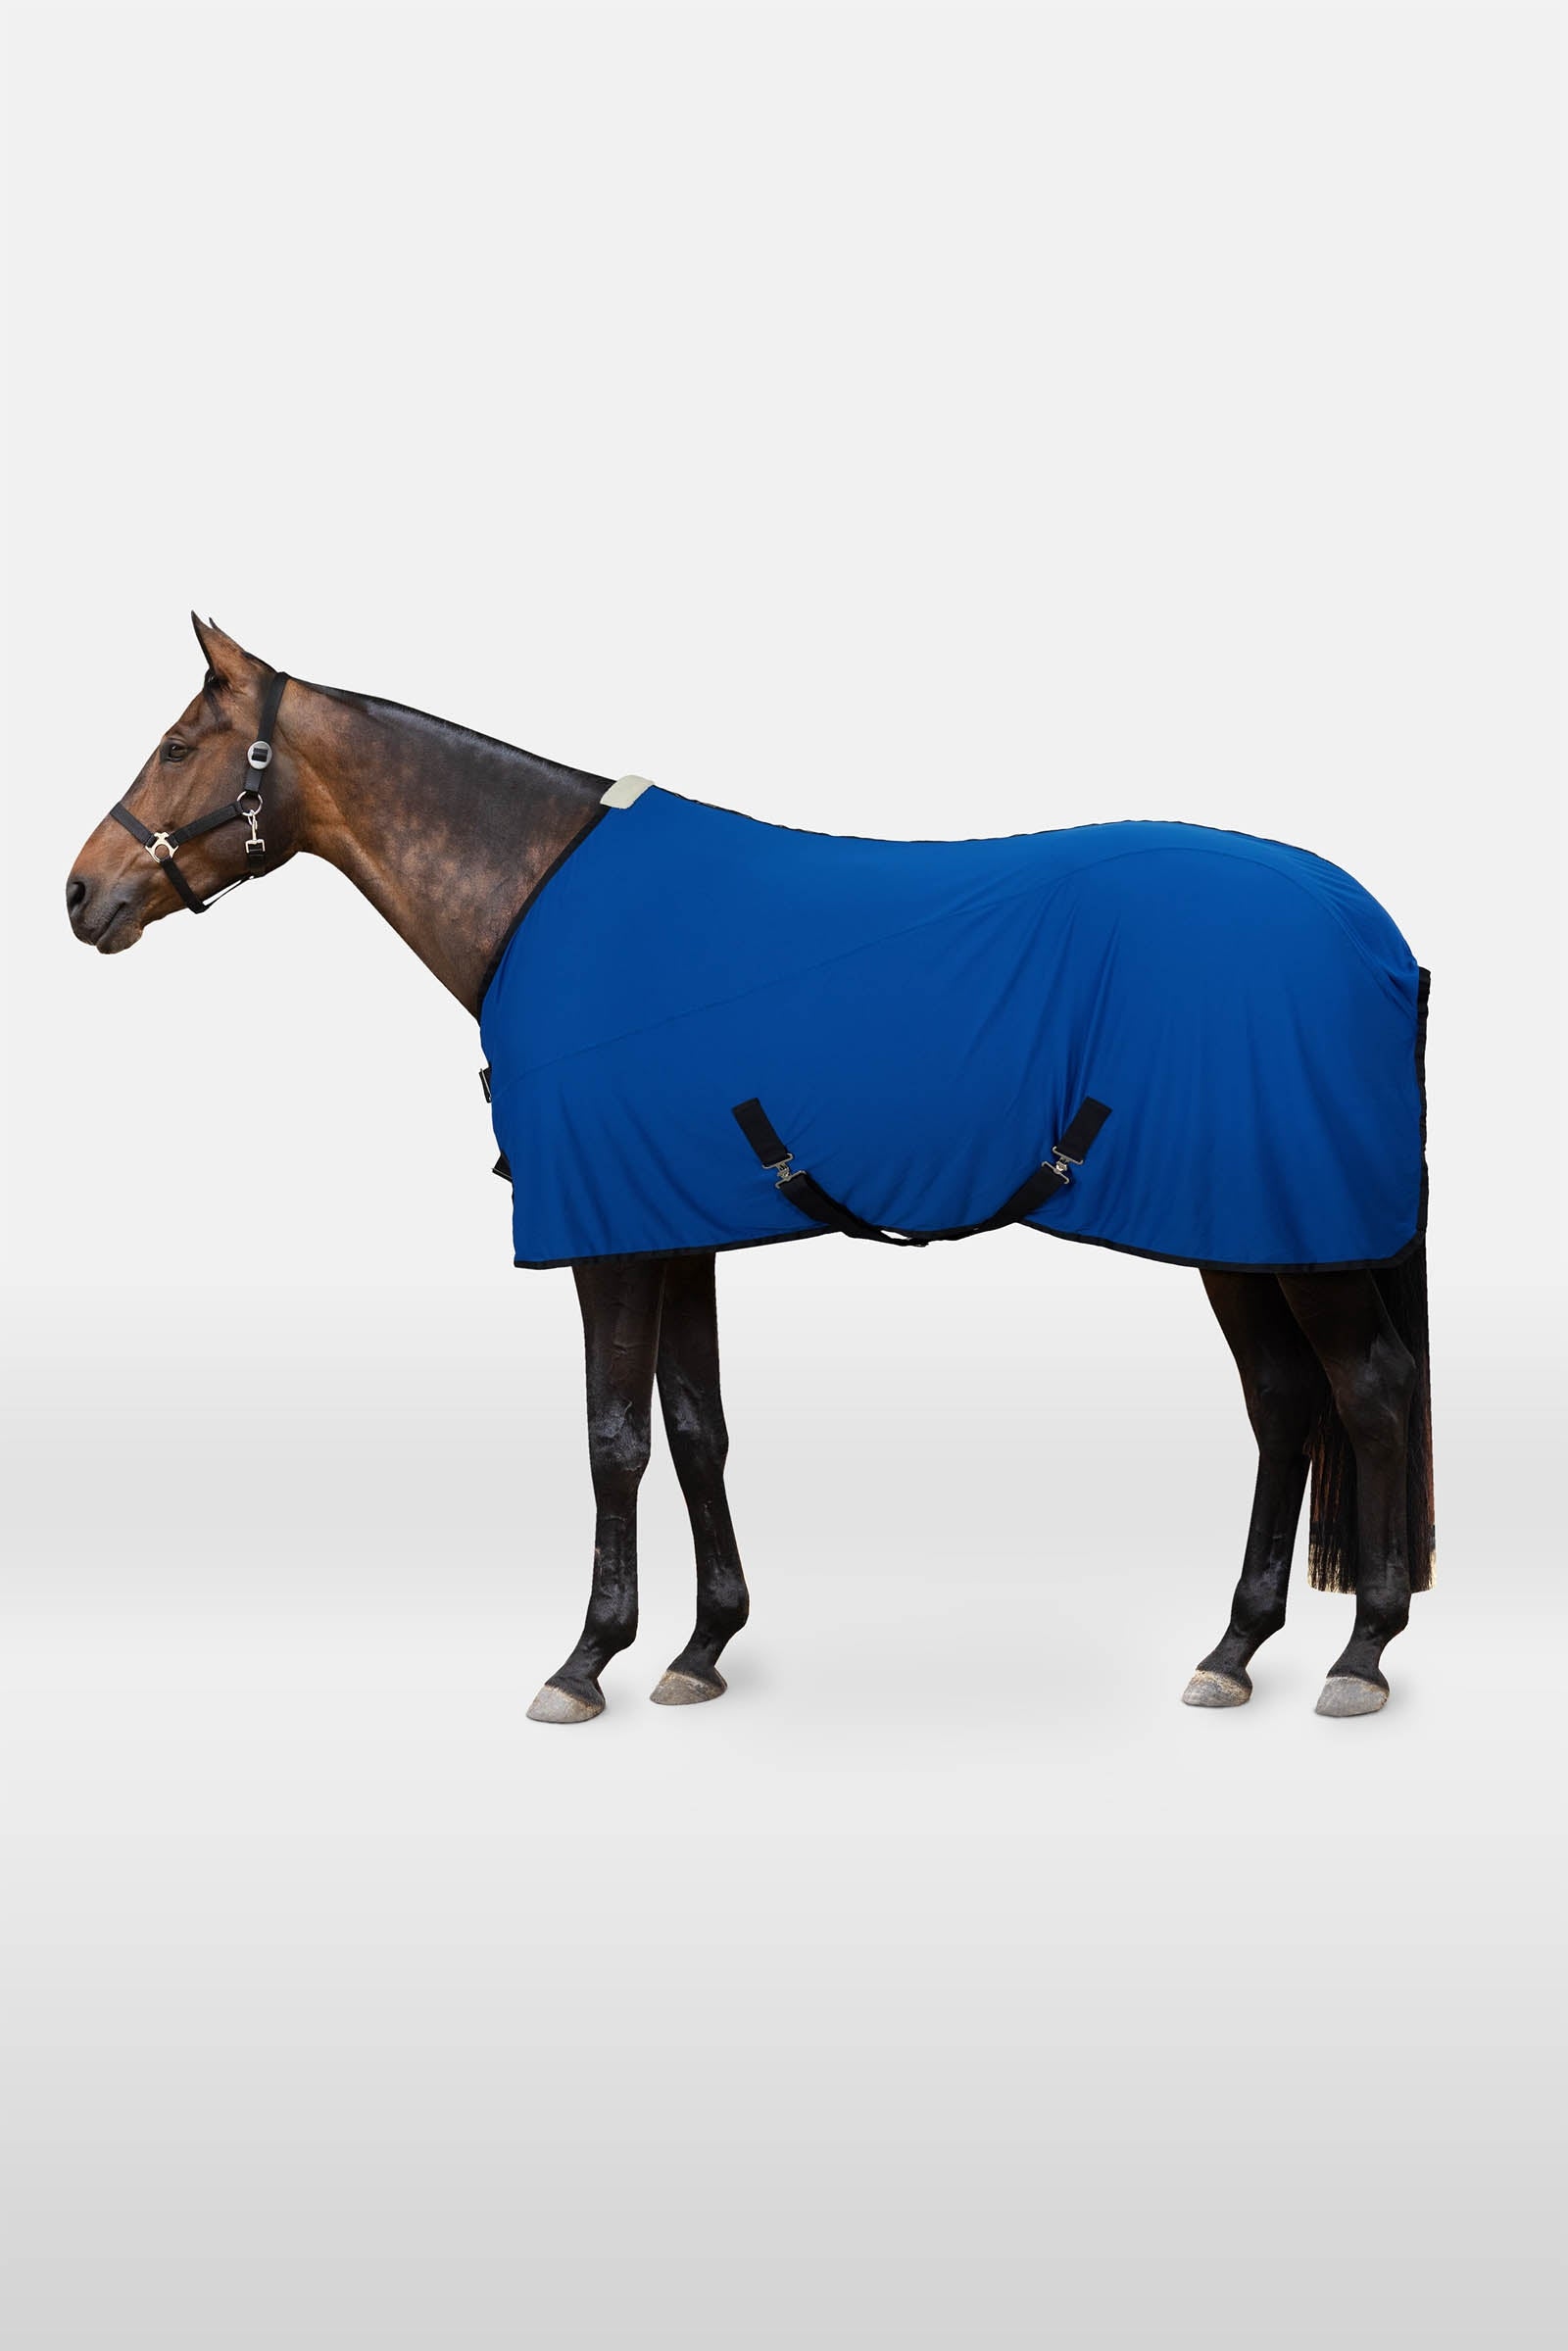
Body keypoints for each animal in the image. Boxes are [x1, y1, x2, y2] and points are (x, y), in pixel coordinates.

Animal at [66, 617, 1434, 1724]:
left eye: (180, 745)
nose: (81, 894)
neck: (538, 891)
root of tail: (1373, 934)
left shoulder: (606, 1236)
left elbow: (613, 1436)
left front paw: (586, 1661)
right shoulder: (671, 1221)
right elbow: (695, 1425)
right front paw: (701, 1646)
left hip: (1292, 1235)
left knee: (1366, 1394)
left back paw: (1360, 1653)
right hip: (1238, 1229)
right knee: (1284, 1403)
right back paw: (1235, 1647)